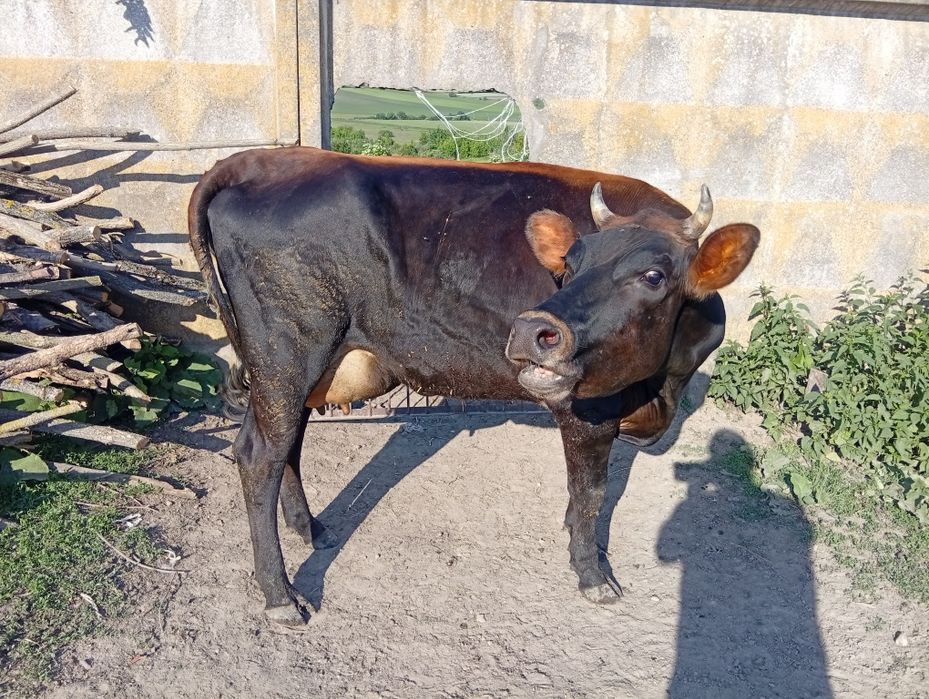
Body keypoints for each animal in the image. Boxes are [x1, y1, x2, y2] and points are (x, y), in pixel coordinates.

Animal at [188, 146, 759, 626]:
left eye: (654, 275)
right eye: (568, 265)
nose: (532, 331)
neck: (663, 387)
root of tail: (261, 159)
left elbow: (582, 496)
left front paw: (576, 539)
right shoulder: (588, 407)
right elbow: (592, 492)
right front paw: (592, 573)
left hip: (294, 368)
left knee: (283, 444)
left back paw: (310, 529)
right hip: (288, 353)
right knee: (259, 455)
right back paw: (281, 596)